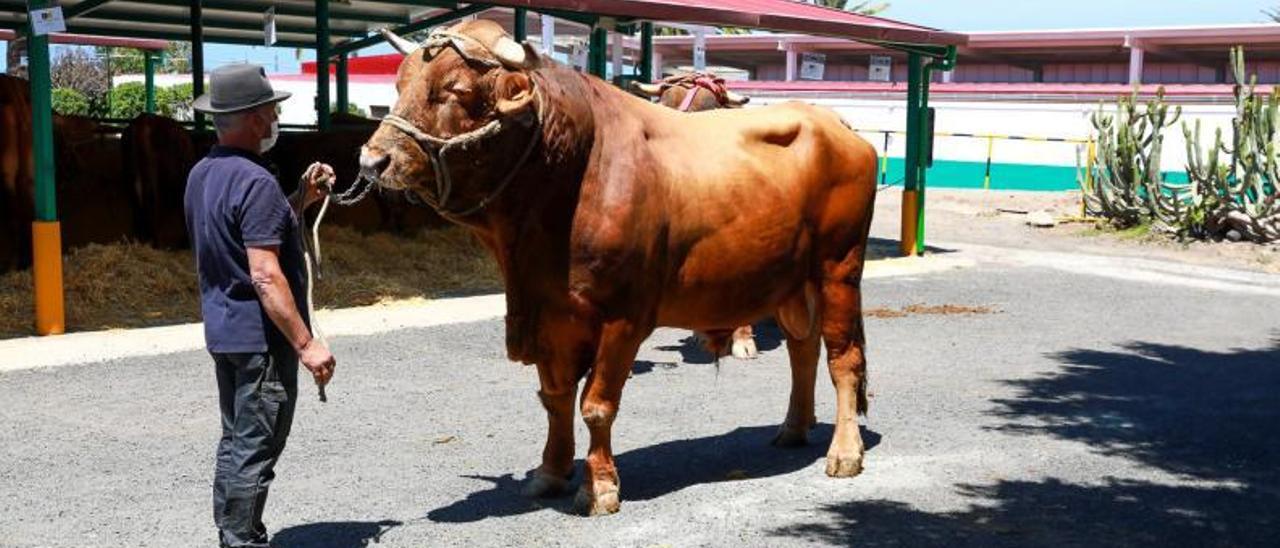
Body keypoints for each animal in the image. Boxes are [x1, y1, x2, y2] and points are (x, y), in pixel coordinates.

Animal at [360, 21, 880, 514]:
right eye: (401, 82)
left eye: (455, 89)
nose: (372, 160)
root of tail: (835, 122)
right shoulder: (552, 313)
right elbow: (554, 398)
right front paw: (550, 472)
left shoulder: (623, 317)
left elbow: (596, 404)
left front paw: (600, 487)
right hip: (792, 280)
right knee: (802, 349)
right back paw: (793, 427)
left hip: (838, 267)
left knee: (843, 359)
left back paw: (844, 451)